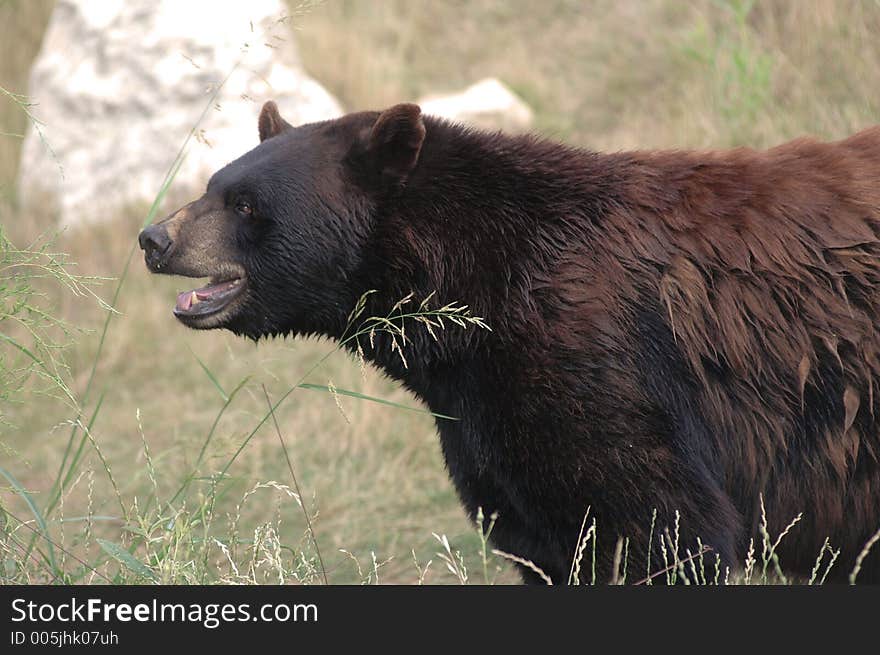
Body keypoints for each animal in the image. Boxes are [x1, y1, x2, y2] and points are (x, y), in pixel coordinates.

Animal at [141, 102, 876, 584]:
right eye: (214, 184)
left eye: (244, 203)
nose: (154, 237)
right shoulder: (489, 419)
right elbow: (542, 535)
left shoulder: (600, 368)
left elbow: (660, 530)